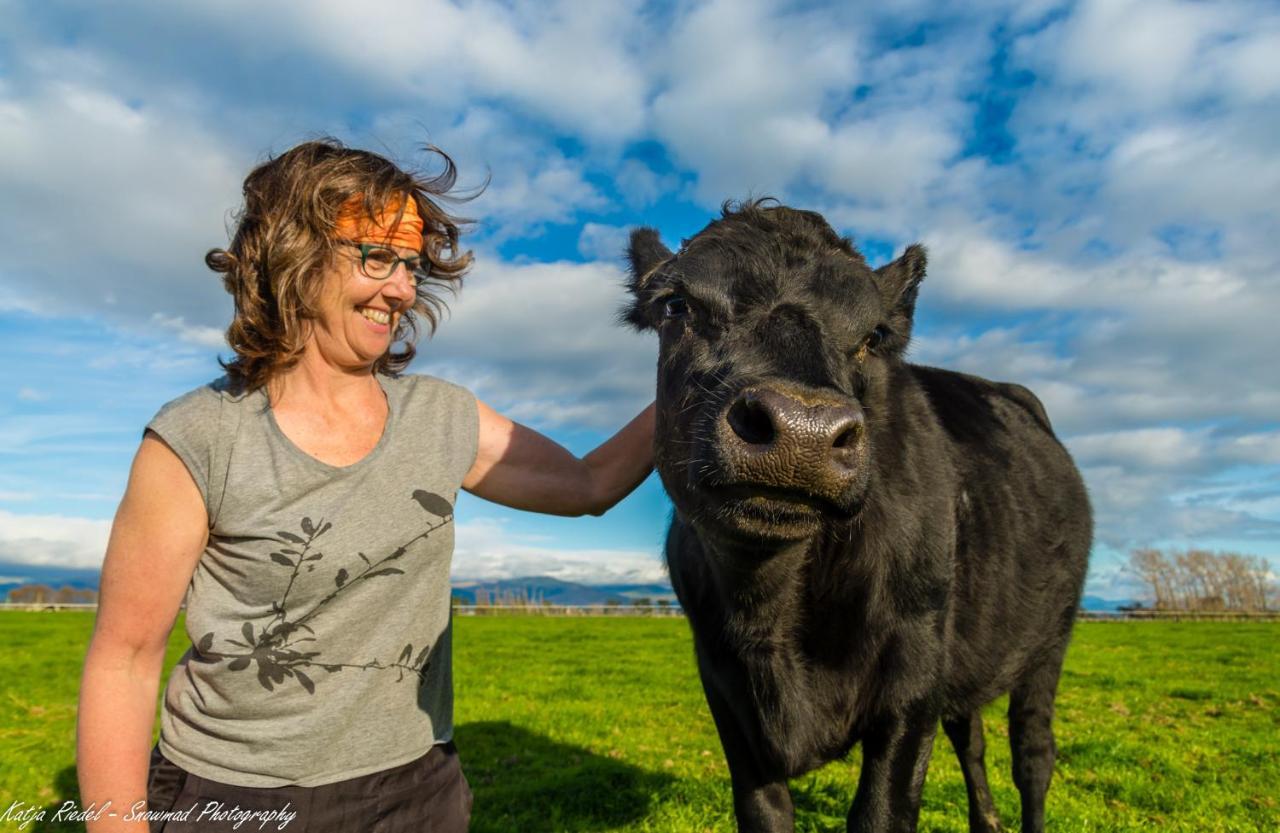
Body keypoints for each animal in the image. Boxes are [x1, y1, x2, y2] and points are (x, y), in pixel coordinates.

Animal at [619, 202, 1090, 833]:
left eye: (873, 337)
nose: (803, 429)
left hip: (1049, 641)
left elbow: (882, 812)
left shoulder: (915, 674)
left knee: (1033, 754)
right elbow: (765, 812)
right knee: (970, 734)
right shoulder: (724, 688)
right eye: (677, 306)